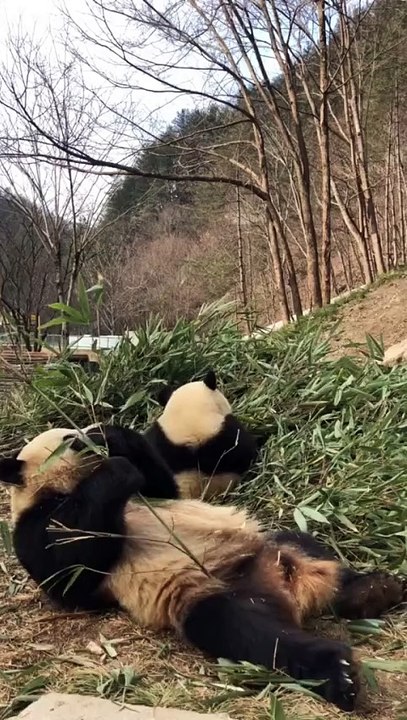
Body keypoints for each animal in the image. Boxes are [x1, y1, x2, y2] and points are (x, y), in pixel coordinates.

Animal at [0, 425, 404, 712]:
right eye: (68, 439)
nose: (86, 438)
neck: (61, 488)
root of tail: (288, 586)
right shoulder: (35, 525)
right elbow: (70, 569)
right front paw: (116, 468)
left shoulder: (153, 494)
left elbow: (165, 487)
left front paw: (115, 438)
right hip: (216, 591)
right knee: (247, 629)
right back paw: (338, 672)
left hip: (270, 547)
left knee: (300, 541)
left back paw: (371, 590)